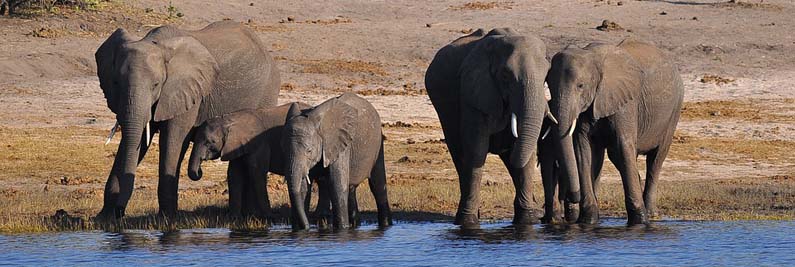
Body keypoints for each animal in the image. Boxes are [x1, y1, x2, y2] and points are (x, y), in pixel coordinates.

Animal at [95, 21, 282, 220]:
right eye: (116, 83)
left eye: (155, 85)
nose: (119, 212)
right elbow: (136, 139)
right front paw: (104, 219)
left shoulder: (185, 92)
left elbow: (173, 139)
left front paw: (167, 220)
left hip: (266, 93)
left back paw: (251, 215)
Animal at [282, 93, 394, 230]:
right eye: (283, 150)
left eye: (309, 151)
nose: (308, 226)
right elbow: (302, 188)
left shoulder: (340, 144)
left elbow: (337, 185)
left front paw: (342, 229)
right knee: (351, 188)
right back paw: (355, 225)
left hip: (377, 144)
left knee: (377, 185)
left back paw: (386, 225)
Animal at [422, 27, 572, 228]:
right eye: (505, 76)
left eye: (546, 76)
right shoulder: (473, 93)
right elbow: (476, 150)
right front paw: (468, 222)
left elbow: (523, 155)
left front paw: (527, 221)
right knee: (459, 155)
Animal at [548, 38, 684, 225]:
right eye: (548, 85)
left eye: (580, 86)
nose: (571, 196)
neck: (592, 57)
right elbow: (583, 150)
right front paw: (589, 220)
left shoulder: (626, 102)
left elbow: (624, 145)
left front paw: (639, 221)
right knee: (617, 157)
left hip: (673, 111)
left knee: (655, 159)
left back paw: (651, 214)